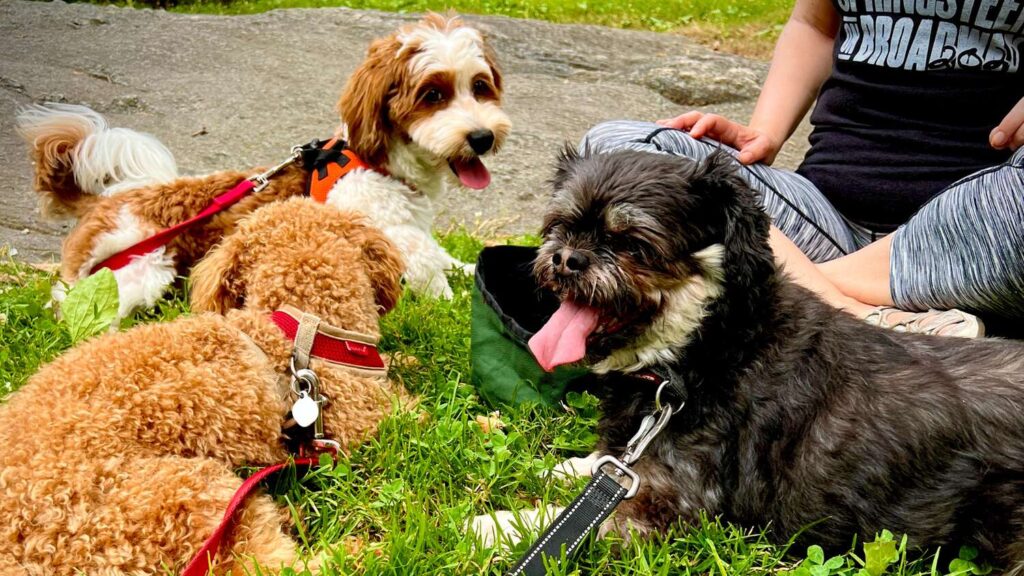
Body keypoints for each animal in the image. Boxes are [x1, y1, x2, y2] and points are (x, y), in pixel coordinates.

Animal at [16, 11, 512, 315]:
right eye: (433, 94)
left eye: (480, 87)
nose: (482, 137)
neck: (382, 165)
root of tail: (103, 203)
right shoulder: (396, 238)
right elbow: (431, 276)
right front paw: (452, 298)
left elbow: (443, 255)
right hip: (135, 272)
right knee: (68, 301)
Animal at [528, 146, 1024, 565]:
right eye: (561, 225)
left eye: (633, 243)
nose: (566, 258)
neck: (711, 346)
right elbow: (602, 465)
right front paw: (571, 466)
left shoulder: (672, 499)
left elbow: (551, 523)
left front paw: (508, 522)